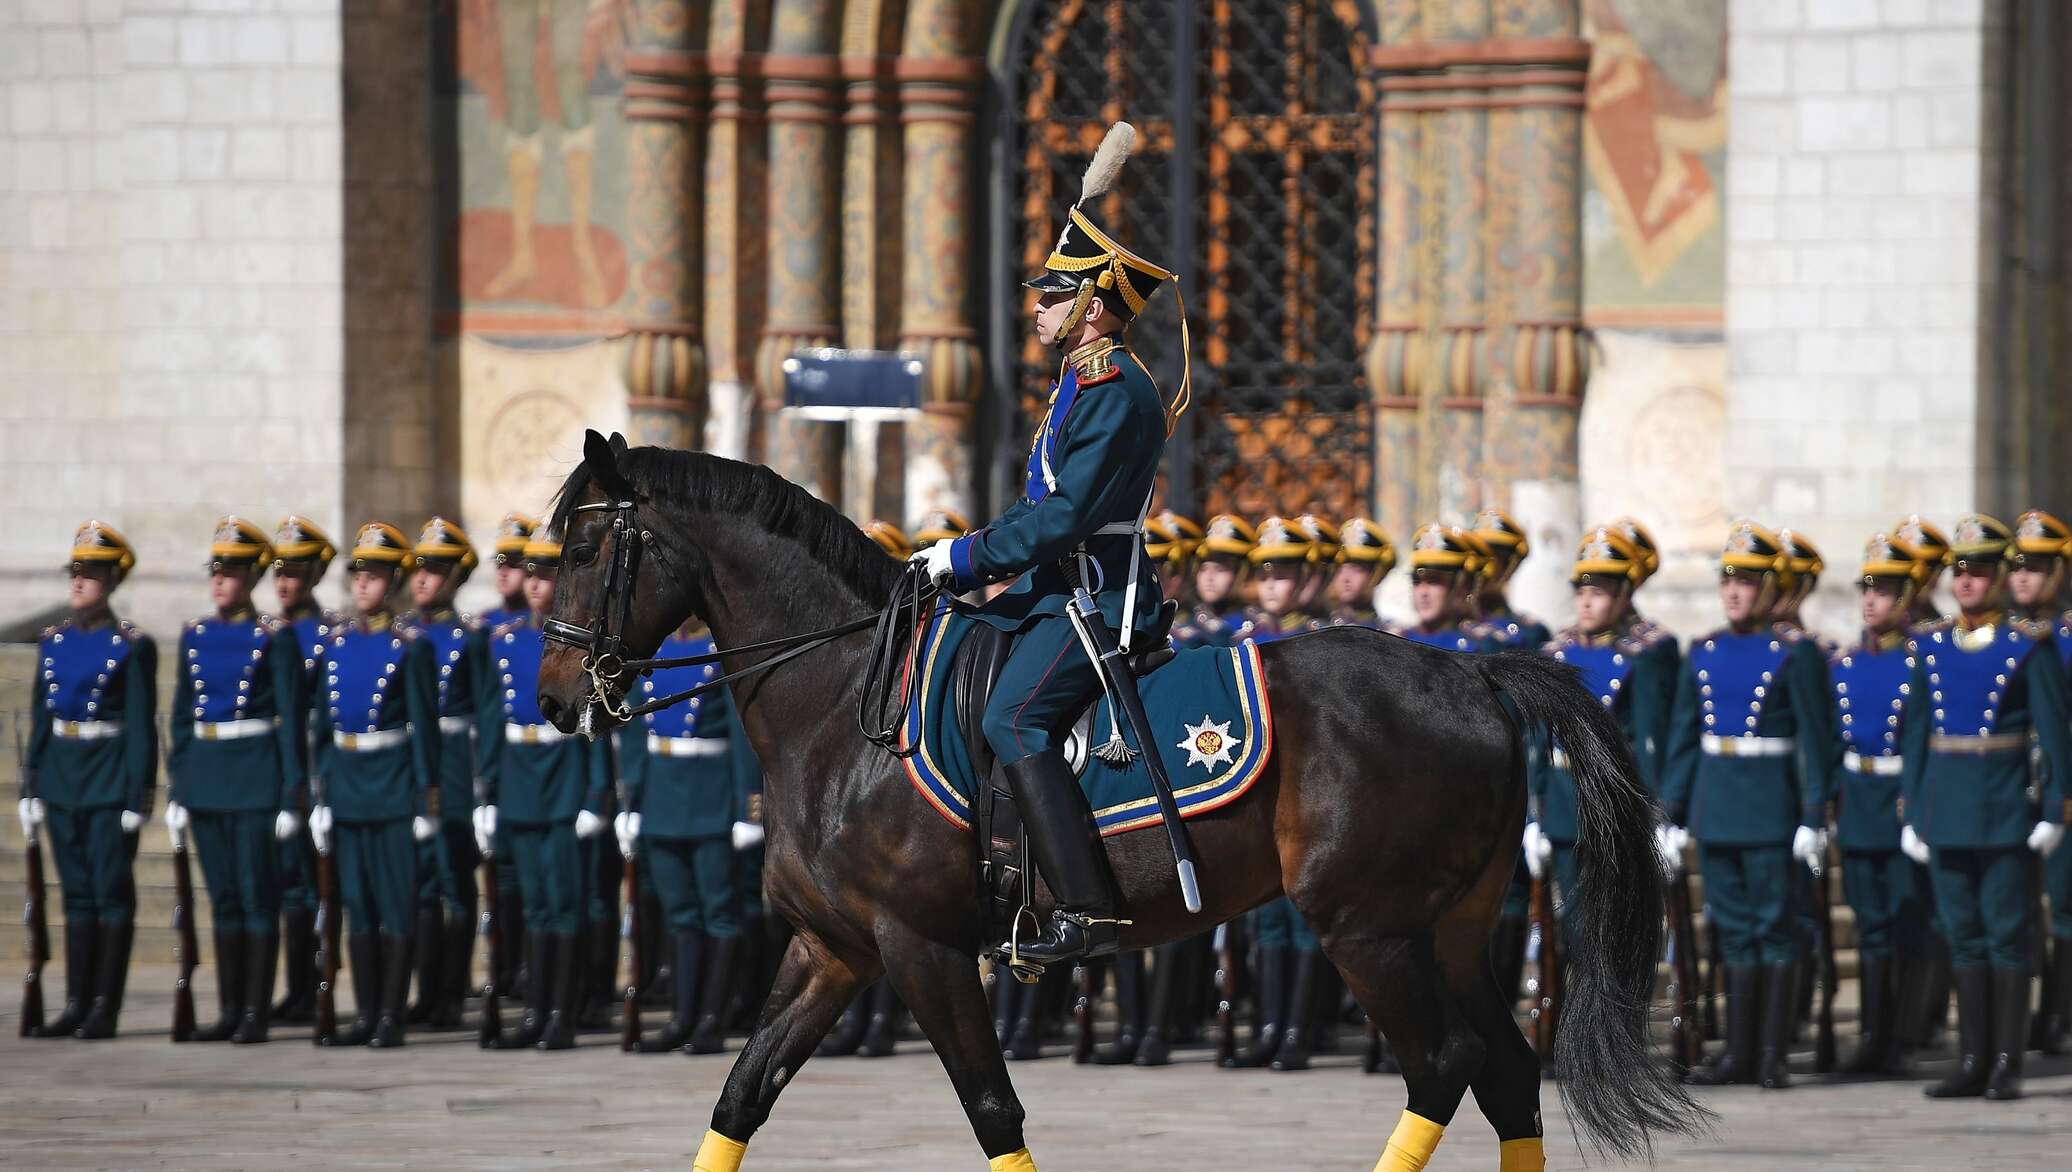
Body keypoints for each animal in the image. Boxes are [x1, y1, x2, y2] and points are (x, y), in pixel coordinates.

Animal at [542, 434, 1707, 1172]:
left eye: (587, 548)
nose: (555, 698)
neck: (843, 703)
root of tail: (1469, 670)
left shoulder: (921, 947)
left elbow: (990, 1107)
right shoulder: (834, 948)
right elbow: (743, 1091)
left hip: (1367, 929)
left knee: (1443, 1067)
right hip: (1452, 928)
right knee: (1506, 1074)